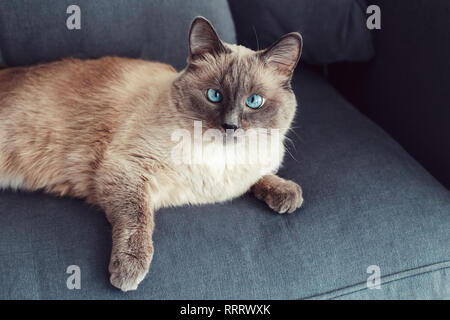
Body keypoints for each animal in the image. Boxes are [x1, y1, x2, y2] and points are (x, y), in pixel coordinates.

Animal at [0, 18, 304, 292]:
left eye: (254, 102)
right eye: (214, 95)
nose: (230, 126)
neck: (220, 161)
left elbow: (262, 178)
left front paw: (287, 194)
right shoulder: (128, 170)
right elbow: (138, 220)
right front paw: (129, 270)